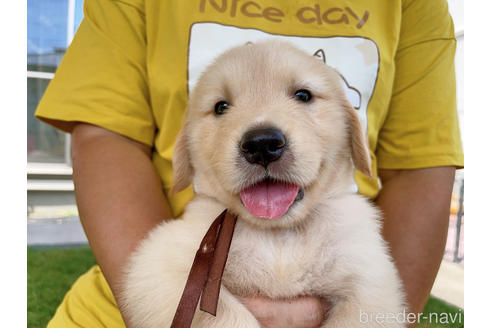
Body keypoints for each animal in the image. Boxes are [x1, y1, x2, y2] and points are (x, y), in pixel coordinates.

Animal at [121, 39, 406, 326]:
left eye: (303, 95)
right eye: (221, 107)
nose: (262, 144)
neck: (278, 235)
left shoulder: (369, 283)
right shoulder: (162, 266)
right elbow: (229, 315)